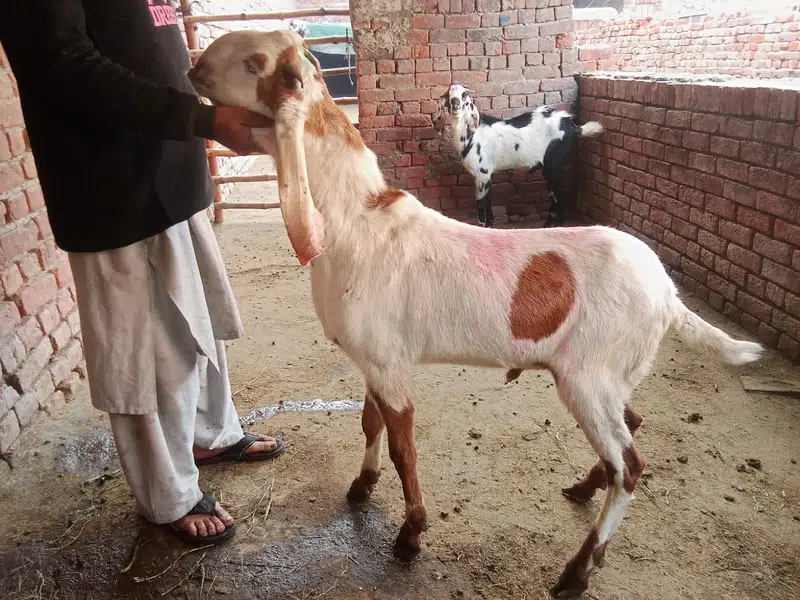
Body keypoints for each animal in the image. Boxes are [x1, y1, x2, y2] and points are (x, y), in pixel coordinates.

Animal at [432, 85, 604, 228]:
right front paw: (490, 225)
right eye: (448, 96)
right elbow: (488, 200)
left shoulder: (481, 174)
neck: (472, 135)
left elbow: (480, 204)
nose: (455, 105)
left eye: (464, 96)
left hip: (554, 164)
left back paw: (551, 224)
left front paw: (482, 227)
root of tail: (573, 126)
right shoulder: (487, 174)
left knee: (558, 193)